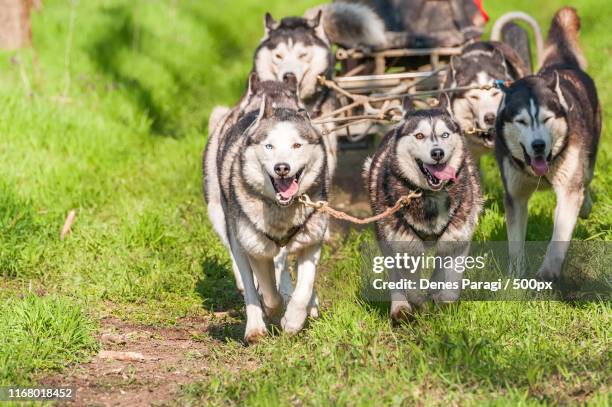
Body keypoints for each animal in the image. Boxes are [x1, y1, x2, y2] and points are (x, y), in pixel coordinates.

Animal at [204, 86, 330, 344]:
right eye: (269, 146)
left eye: (296, 145)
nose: (282, 167)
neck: (281, 210)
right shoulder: (256, 248)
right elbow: (269, 294)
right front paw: (275, 310)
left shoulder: (312, 239)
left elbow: (304, 287)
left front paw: (293, 320)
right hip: (225, 221)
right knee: (248, 280)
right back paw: (255, 327)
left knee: (283, 266)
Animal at [364, 99, 482, 322]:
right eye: (419, 136)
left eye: (445, 135)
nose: (437, 153)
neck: (429, 196)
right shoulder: (404, 245)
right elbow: (410, 286)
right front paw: (419, 305)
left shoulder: (458, 236)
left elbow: (451, 284)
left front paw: (441, 300)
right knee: (395, 275)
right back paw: (400, 308)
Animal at [494, 7, 600, 280]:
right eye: (521, 121)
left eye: (546, 118)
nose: (539, 145)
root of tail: (560, 64)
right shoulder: (515, 194)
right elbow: (515, 243)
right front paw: (515, 277)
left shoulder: (568, 188)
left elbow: (559, 235)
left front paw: (547, 273)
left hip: (588, 154)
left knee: (585, 179)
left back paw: (585, 205)